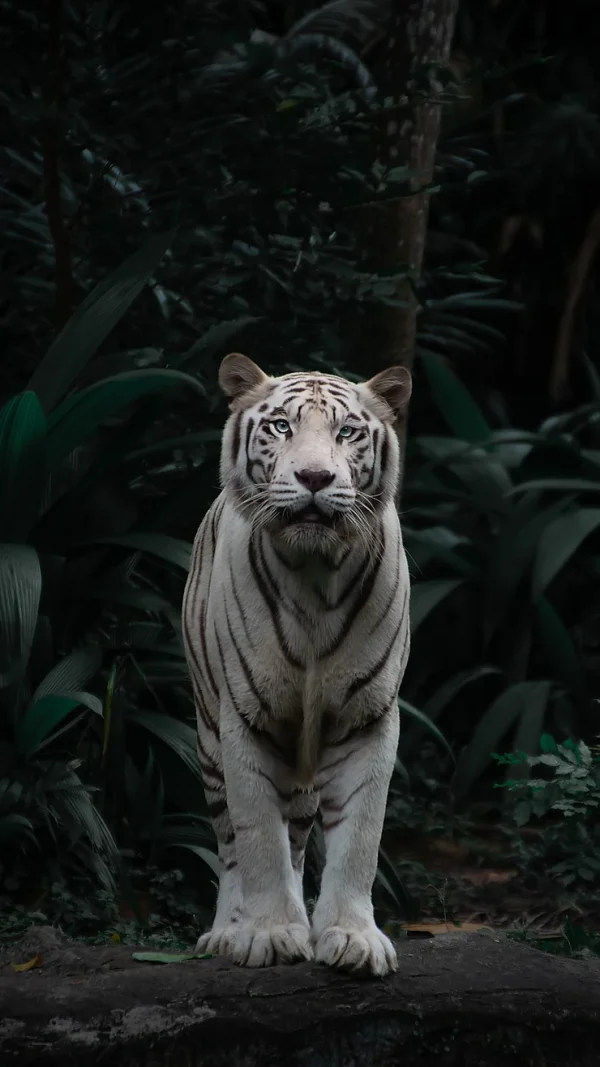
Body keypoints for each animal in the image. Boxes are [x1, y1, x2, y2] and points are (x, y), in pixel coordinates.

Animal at [179, 352, 407, 977]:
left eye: (347, 432)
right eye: (281, 427)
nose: (314, 478)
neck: (315, 575)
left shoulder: (368, 718)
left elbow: (360, 836)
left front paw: (352, 938)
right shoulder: (245, 719)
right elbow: (258, 837)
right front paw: (271, 933)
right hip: (208, 738)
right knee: (231, 843)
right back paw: (227, 932)